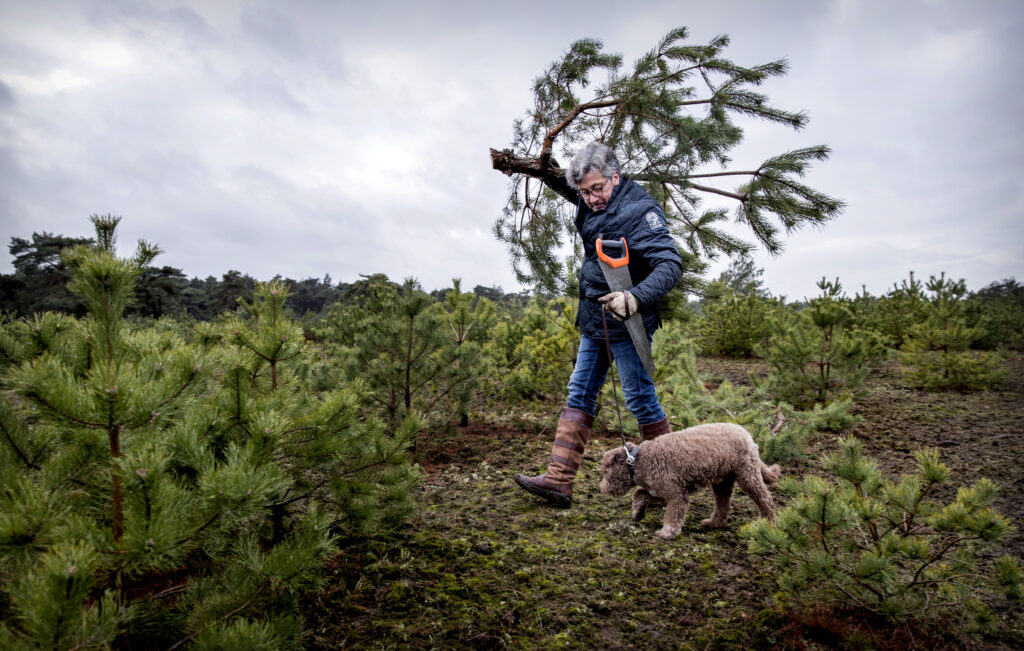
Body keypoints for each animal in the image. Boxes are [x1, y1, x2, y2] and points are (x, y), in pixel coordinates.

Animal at [598, 421, 778, 540]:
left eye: (606, 472)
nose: (601, 488)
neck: (638, 461)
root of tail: (745, 433)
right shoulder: (662, 491)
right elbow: (638, 493)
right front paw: (638, 511)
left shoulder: (676, 495)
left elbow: (672, 516)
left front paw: (667, 533)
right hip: (722, 481)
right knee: (723, 506)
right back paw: (713, 523)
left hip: (747, 475)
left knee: (765, 499)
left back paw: (768, 522)